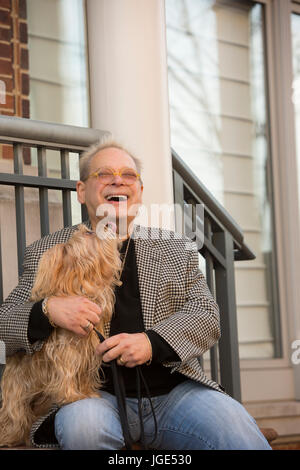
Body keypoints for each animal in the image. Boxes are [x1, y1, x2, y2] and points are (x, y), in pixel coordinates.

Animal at [0, 224, 122, 448]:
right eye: (89, 233)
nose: (109, 224)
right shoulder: (65, 354)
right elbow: (66, 374)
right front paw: (72, 396)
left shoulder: (87, 355)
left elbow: (83, 376)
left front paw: (87, 392)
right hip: (16, 396)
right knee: (13, 418)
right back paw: (8, 437)